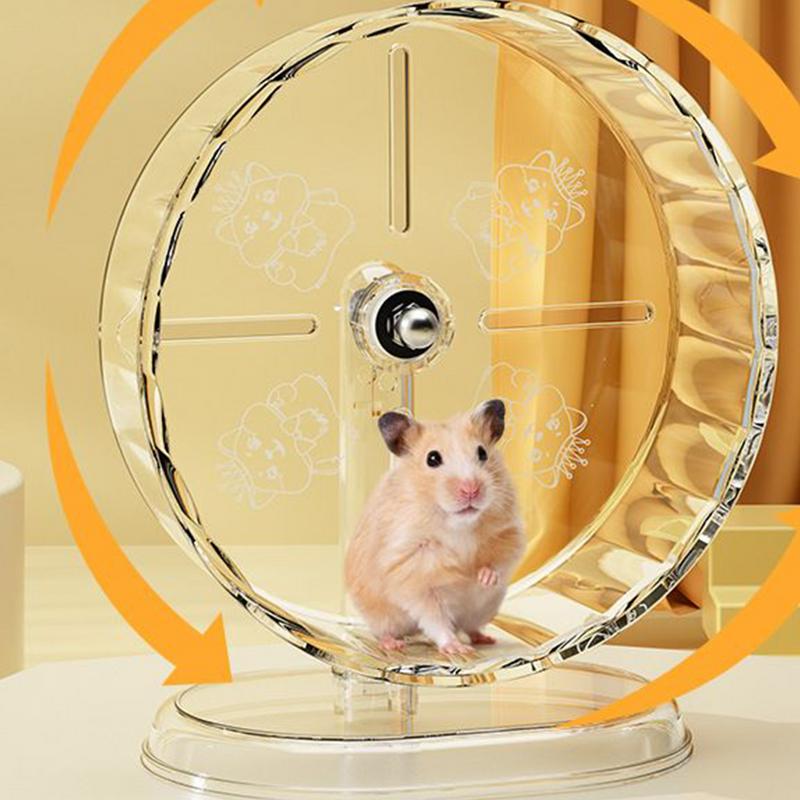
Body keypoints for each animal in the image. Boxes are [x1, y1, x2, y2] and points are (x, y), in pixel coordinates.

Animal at [345, 399, 524, 657]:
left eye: (482, 453)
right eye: (432, 459)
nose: (471, 489)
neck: (458, 524)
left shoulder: (508, 532)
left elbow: (500, 561)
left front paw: (483, 578)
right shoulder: (412, 572)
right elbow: (435, 618)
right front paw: (457, 649)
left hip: (483, 610)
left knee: (470, 627)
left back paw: (486, 639)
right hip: (380, 615)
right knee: (385, 631)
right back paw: (394, 644)